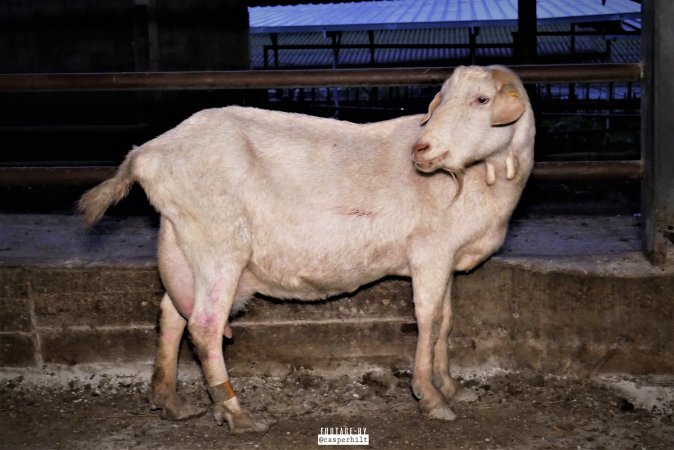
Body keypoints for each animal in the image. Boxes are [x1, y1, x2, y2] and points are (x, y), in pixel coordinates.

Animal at [78, 65, 535, 431]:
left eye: (481, 99)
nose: (421, 149)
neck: (481, 179)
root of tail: (146, 154)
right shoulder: (430, 252)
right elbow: (429, 320)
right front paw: (431, 397)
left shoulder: (449, 259)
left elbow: (447, 319)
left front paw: (451, 387)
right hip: (219, 241)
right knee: (204, 325)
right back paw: (236, 414)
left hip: (182, 241)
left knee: (172, 314)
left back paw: (170, 400)